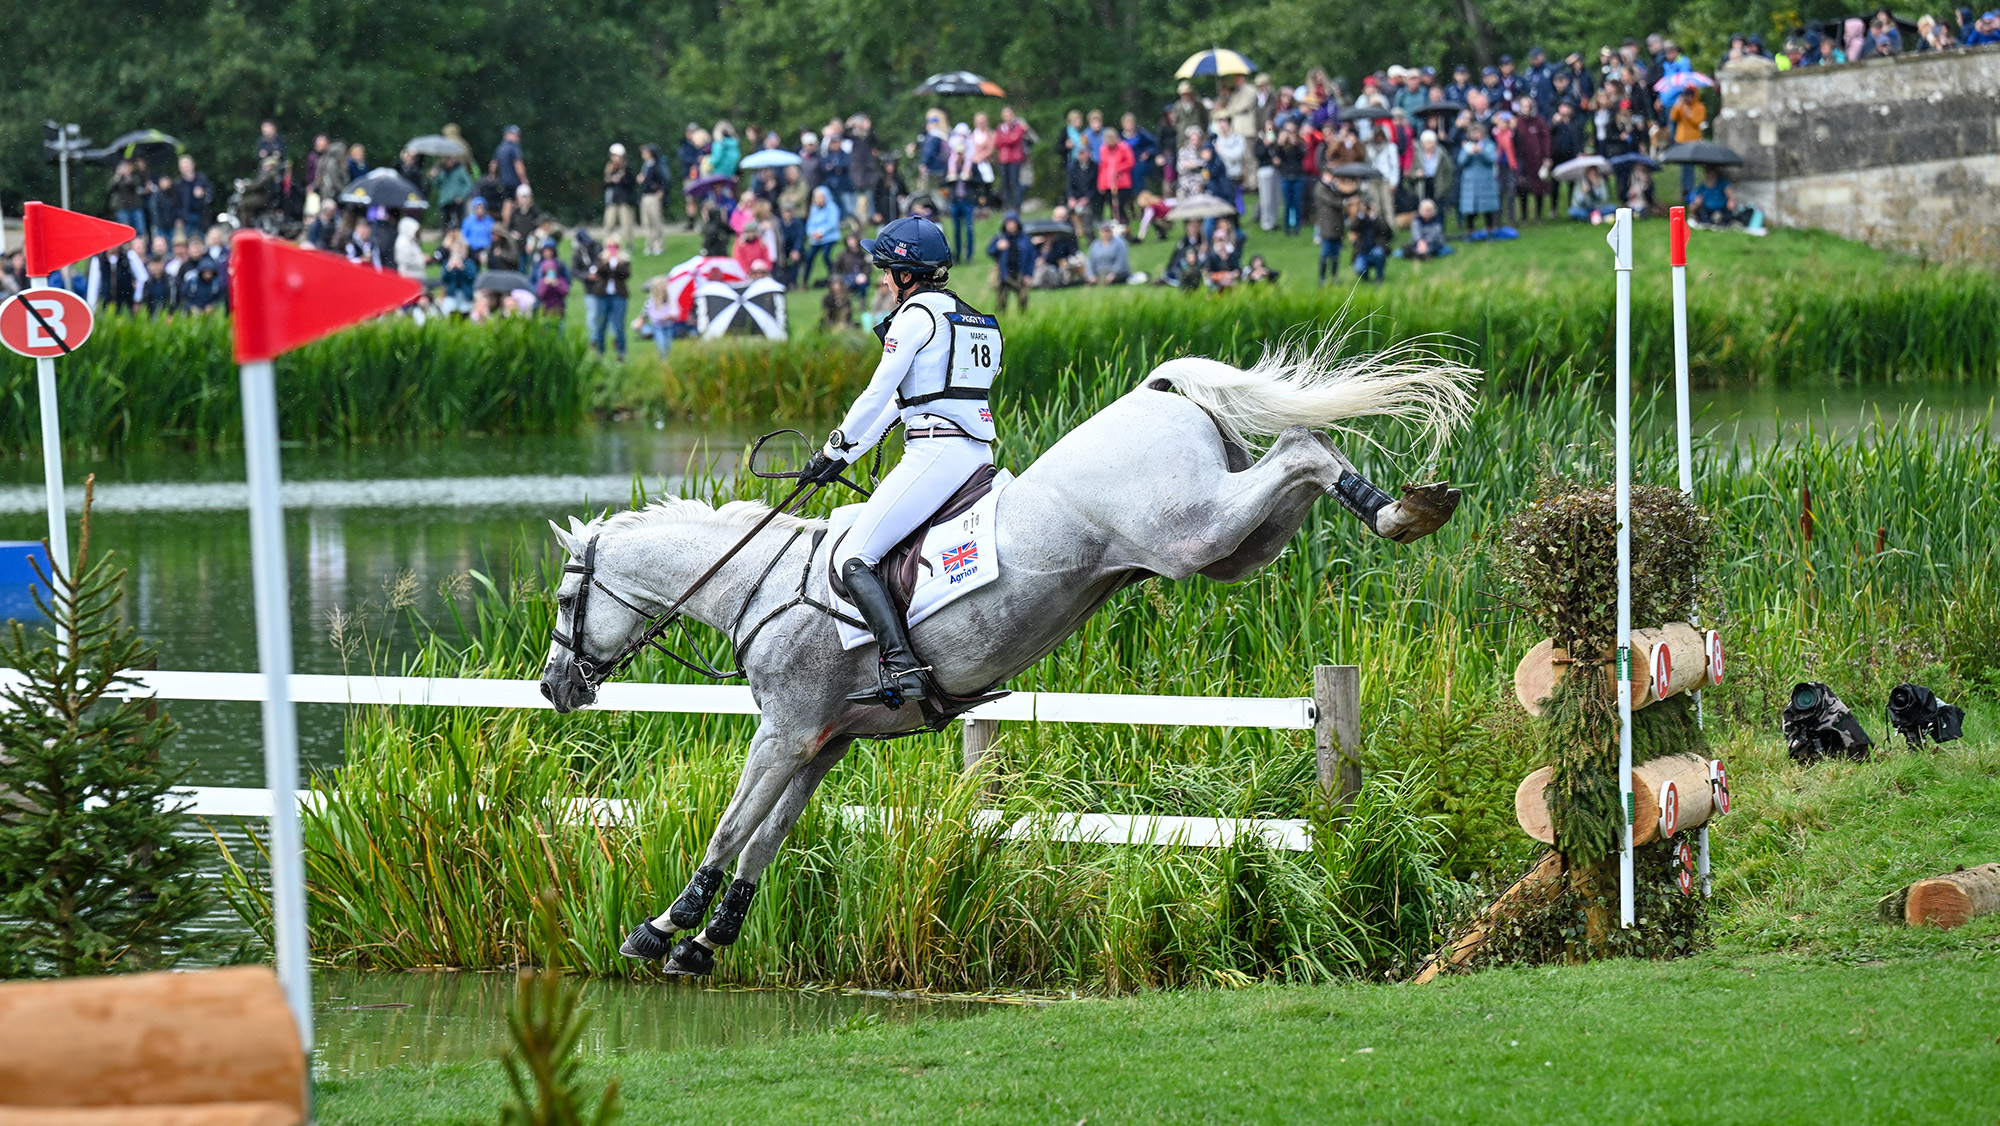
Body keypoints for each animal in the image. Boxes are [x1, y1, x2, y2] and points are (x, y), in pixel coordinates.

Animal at [539, 337, 1477, 975]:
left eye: (562, 603)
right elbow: (766, 839)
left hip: (1192, 531)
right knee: (1304, 464)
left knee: (1302, 451)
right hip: (1227, 549)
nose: (554, 686)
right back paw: (1404, 510)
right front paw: (708, 941)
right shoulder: (822, 741)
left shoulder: (785, 732)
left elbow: (733, 827)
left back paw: (1404, 512)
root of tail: (1158, 389)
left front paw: (662, 928)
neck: (757, 583)